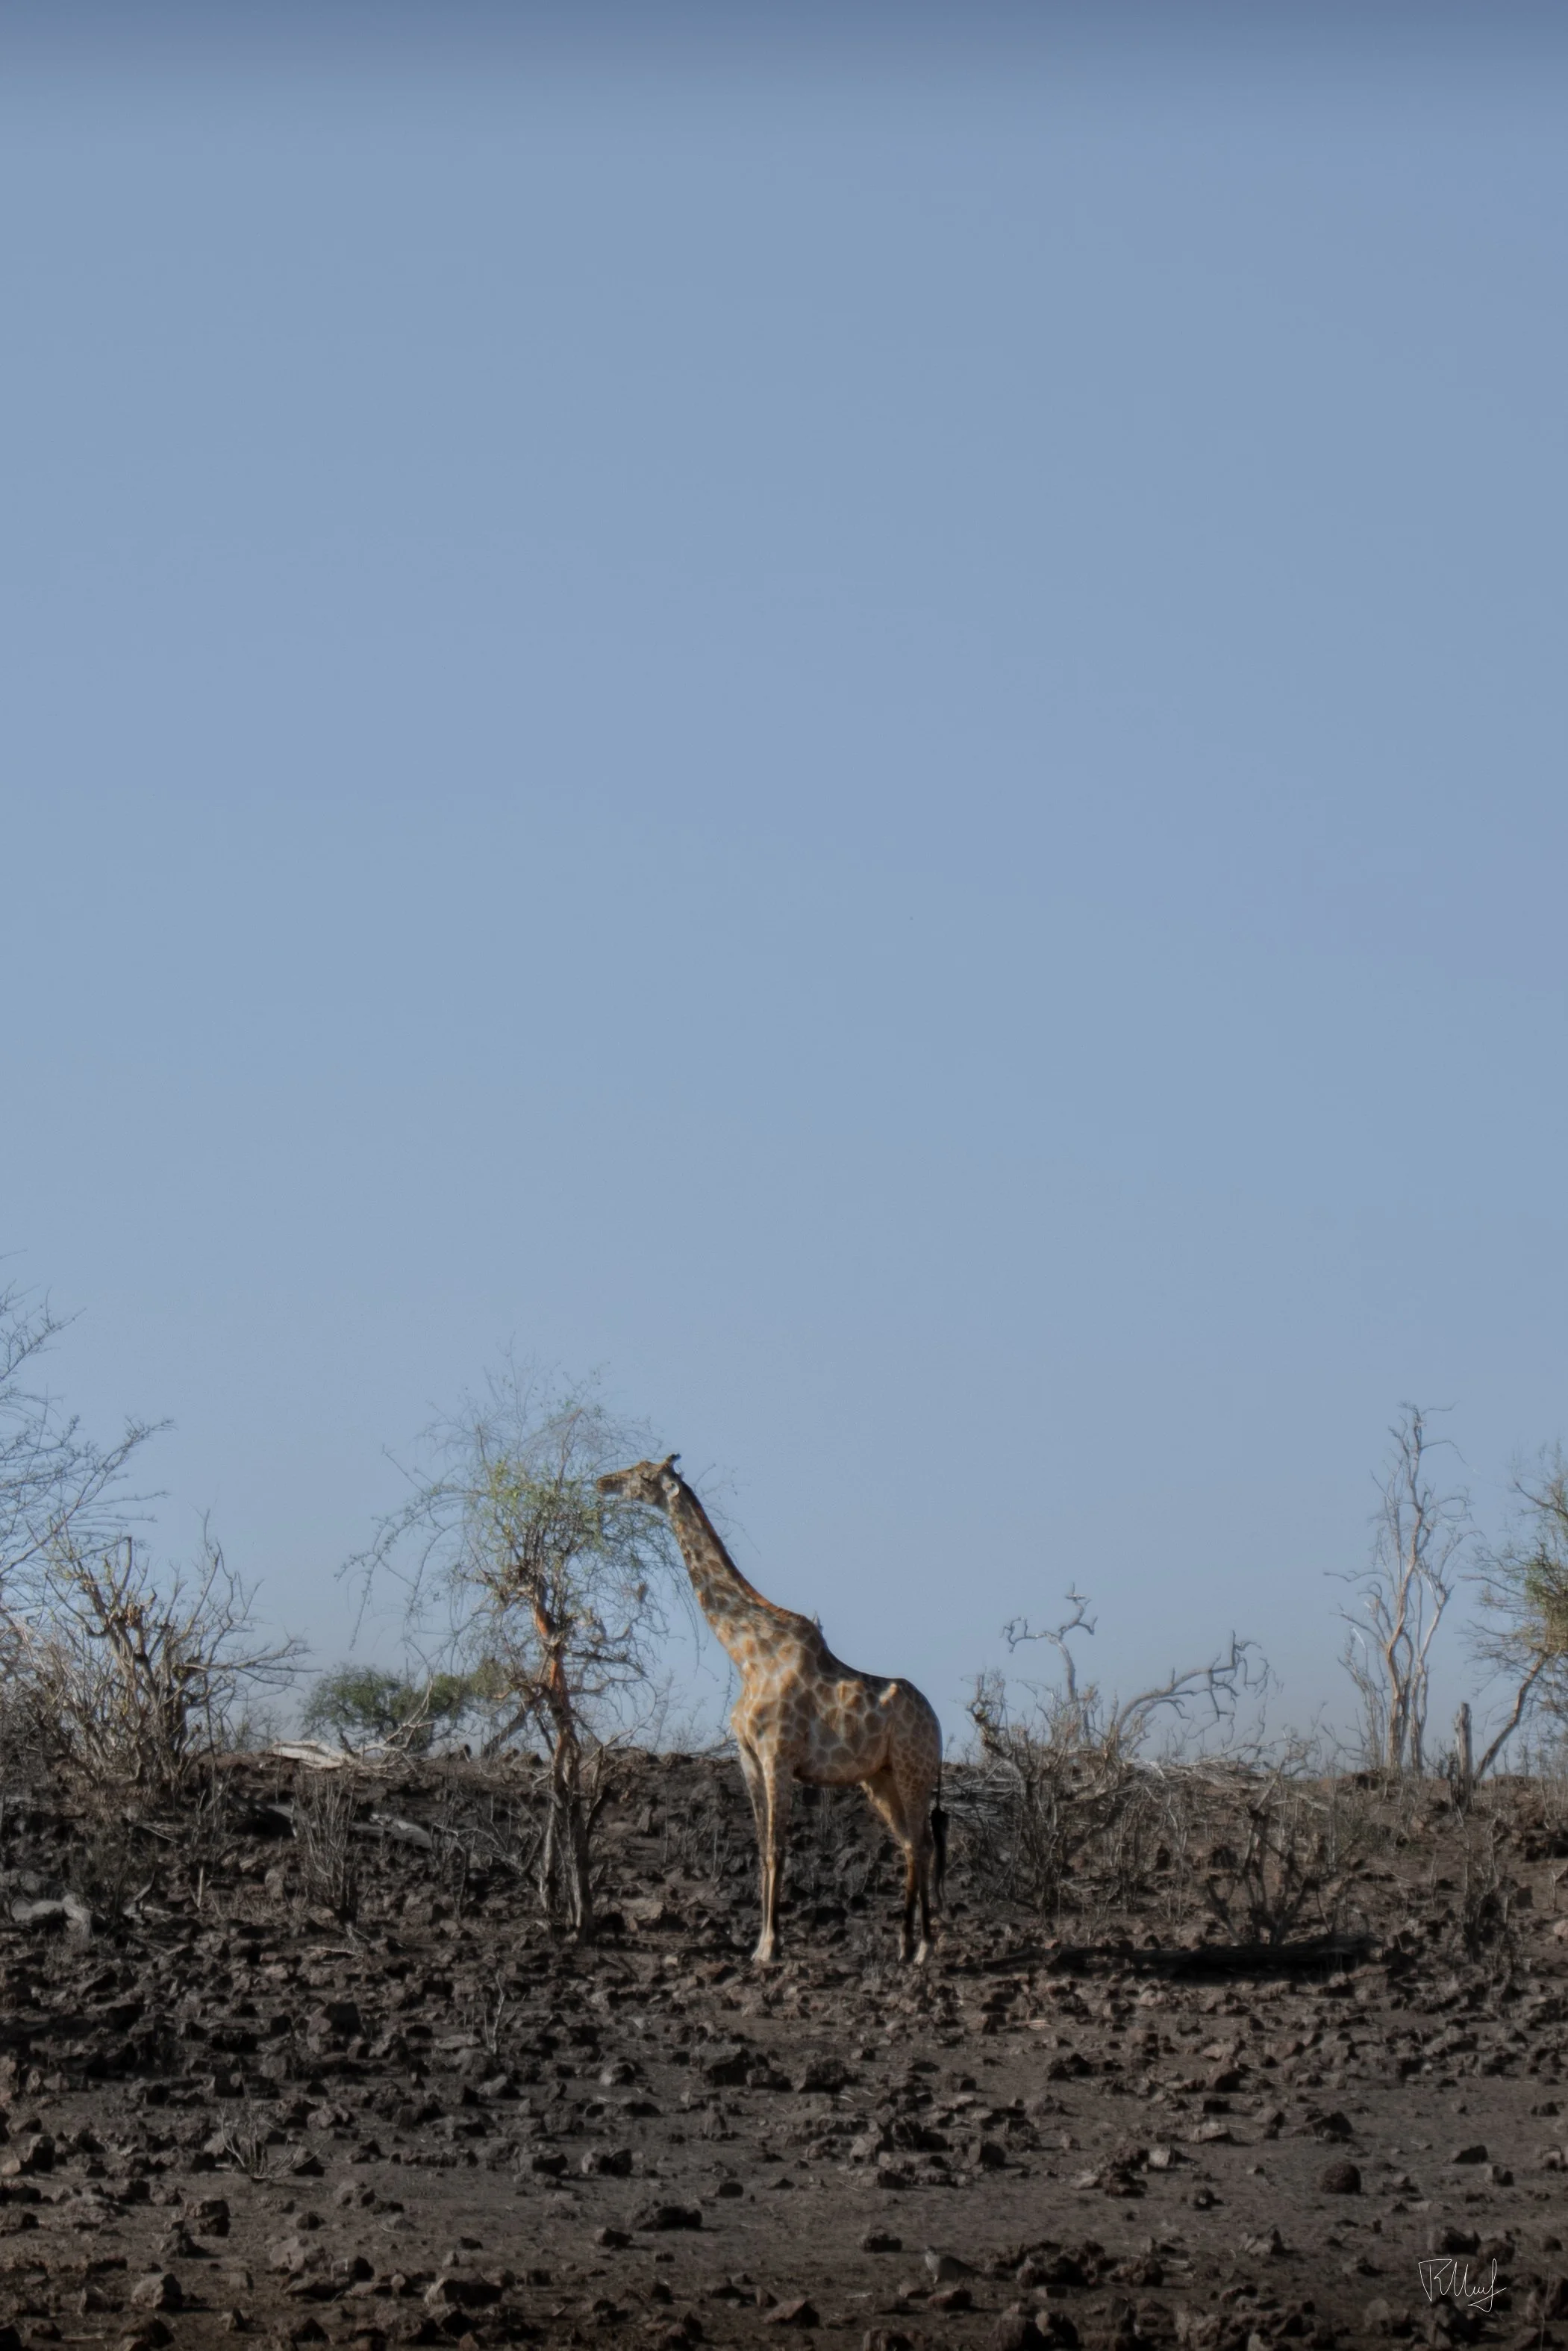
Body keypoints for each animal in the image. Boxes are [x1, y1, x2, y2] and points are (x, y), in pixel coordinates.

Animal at [596, 1455, 946, 1966]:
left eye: (643, 1476)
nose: (602, 1482)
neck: (748, 1654)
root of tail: (938, 1724)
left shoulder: (777, 1756)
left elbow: (779, 1849)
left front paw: (771, 1946)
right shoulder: (748, 1757)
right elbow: (762, 1848)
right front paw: (759, 1945)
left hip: (912, 1768)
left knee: (923, 1842)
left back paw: (924, 1948)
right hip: (879, 1778)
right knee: (908, 1844)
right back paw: (902, 1946)